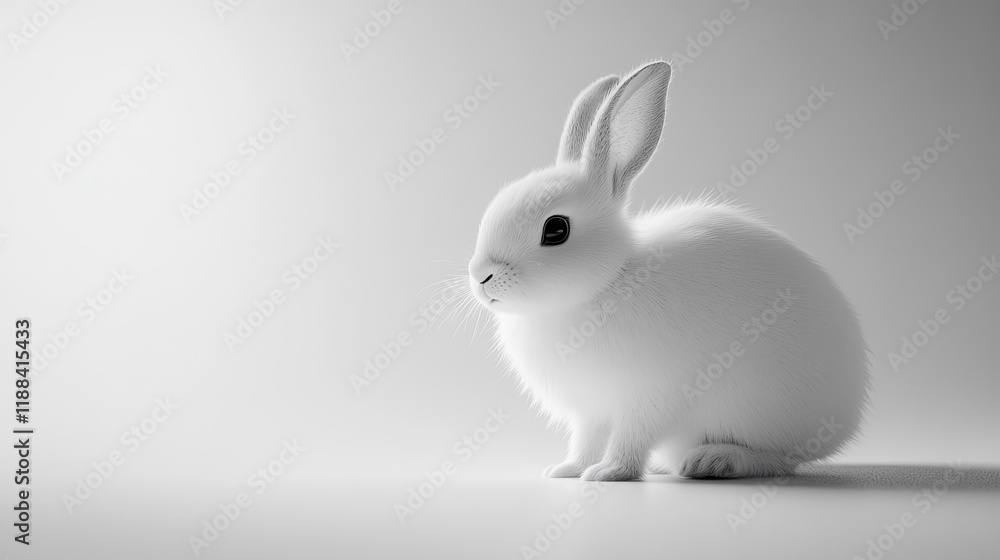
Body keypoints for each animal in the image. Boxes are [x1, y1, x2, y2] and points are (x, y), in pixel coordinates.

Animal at [466, 61, 870, 481]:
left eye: (556, 229)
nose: (481, 278)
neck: (606, 284)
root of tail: (847, 419)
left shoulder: (647, 397)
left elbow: (630, 438)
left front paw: (609, 473)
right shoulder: (591, 410)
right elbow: (586, 440)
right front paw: (567, 470)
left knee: (780, 460)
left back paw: (714, 460)